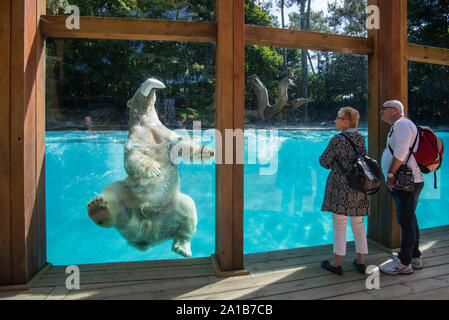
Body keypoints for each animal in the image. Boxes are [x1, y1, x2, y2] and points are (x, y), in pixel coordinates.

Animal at [88, 77, 215, 258]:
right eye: (139, 87)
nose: (153, 82)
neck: (147, 123)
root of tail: (149, 235)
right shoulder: (134, 142)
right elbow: (134, 160)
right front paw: (154, 169)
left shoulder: (168, 137)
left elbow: (185, 147)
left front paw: (208, 151)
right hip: (129, 193)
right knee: (114, 191)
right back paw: (99, 208)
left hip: (170, 205)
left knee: (188, 209)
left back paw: (181, 247)